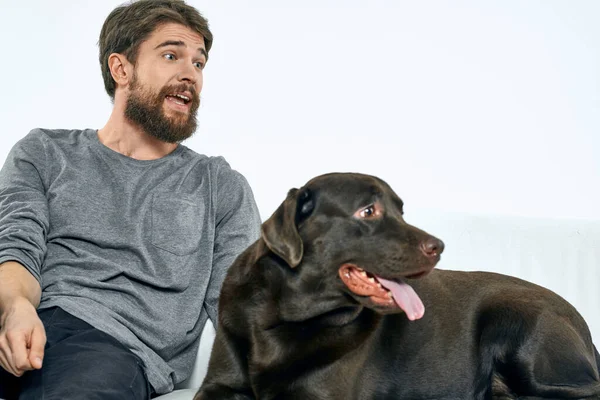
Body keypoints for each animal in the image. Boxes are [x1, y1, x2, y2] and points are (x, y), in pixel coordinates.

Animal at [195, 173, 596, 398]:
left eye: (401, 210)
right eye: (368, 211)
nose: (439, 246)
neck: (287, 318)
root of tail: (586, 329)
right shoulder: (218, 385)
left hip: (516, 325)